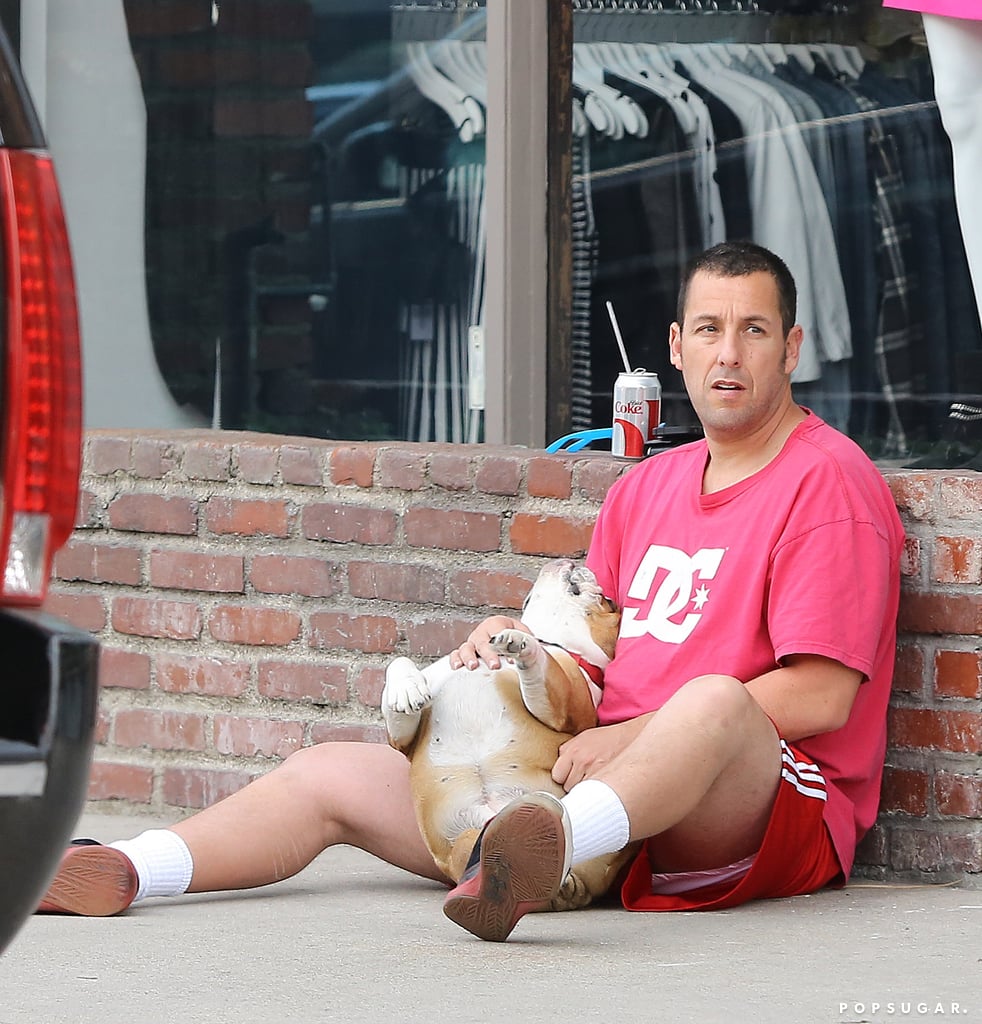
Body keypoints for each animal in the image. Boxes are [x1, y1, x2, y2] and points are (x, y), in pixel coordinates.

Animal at [380, 561, 634, 913]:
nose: (572, 562)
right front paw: (405, 690)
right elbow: (400, 665)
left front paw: (520, 641)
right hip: (466, 843)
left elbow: (540, 665)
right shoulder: (403, 738)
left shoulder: (567, 700)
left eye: (608, 602)